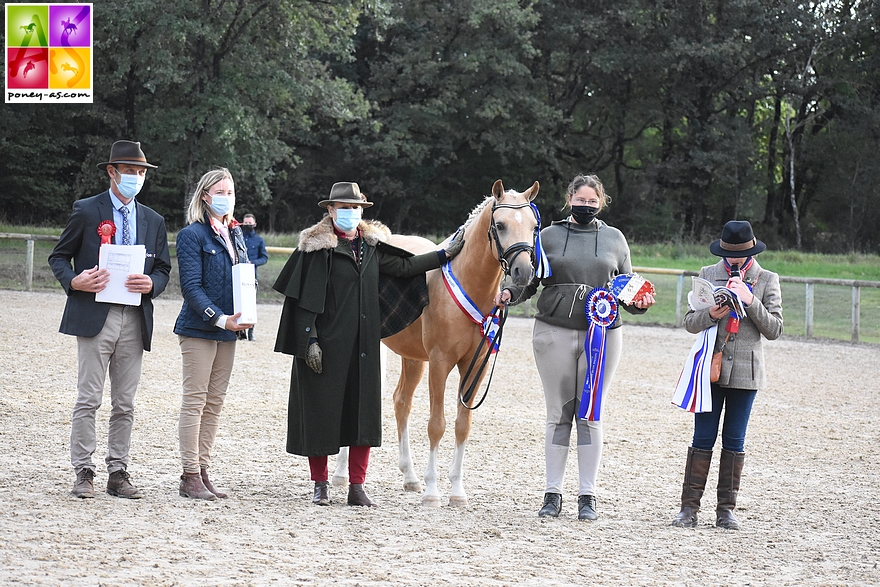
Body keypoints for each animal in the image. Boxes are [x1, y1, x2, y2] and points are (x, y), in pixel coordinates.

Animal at [330, 179, 540, 506]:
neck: (467, 282)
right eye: (500, 225)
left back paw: (410, 477)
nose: (524, 272)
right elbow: (436, 424)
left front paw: (457, 492)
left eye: (533, 226)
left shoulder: (474, 366)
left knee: (401, 402)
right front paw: (432, 492)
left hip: (413, 358)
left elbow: (462, 425)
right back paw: (341, 475)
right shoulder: (440, 363)